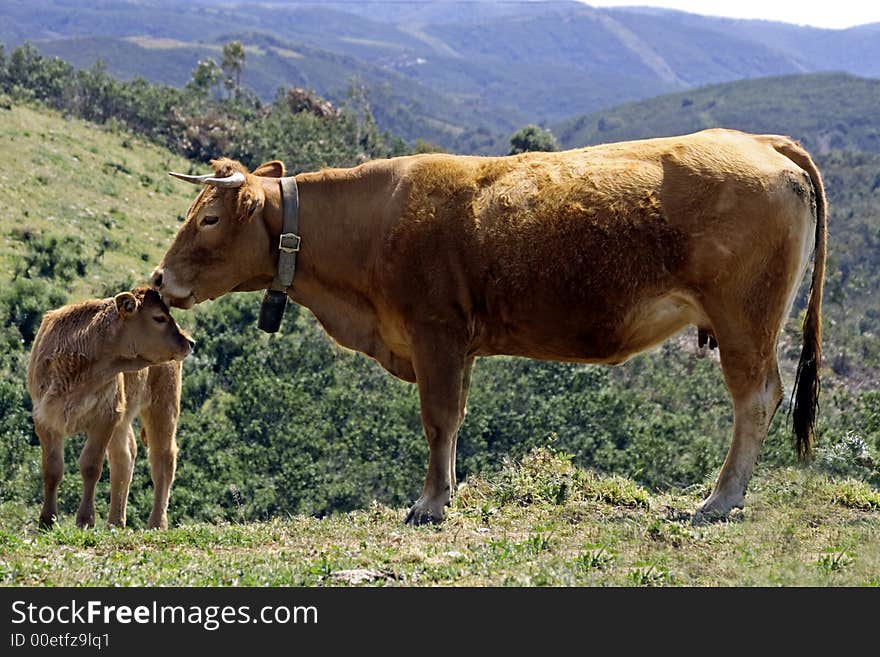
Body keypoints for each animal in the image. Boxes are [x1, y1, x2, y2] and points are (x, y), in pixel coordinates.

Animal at [27, 286, 194, 528]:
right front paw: (47, 520)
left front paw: (86, 519)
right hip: (125, 419)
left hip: (163, 405)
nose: (190, 342)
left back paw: (156, 523)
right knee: (124, 456)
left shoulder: (105, 418)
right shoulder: (45, 418)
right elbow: (52, 469)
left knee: (163, 459)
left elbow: (90, 466)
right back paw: (115, 522)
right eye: (159, 318)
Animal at [153, 129, 824, 528]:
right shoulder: (458, 344)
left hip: (744, 321)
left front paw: (430, 503)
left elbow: (438, 419)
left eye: (208, 218)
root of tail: (756, 140)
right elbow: (453, 421)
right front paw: (444, 493)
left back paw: (720, 499)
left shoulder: (436, 333)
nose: (160, 278)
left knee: (756, 399)